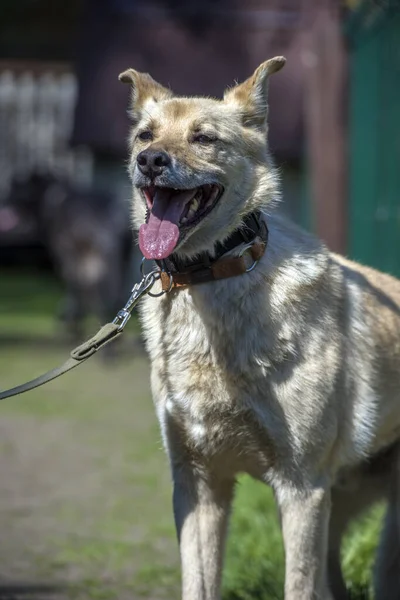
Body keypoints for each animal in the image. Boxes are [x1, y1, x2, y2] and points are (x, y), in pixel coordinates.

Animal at [118, 57, 400, 600]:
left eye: (204, 138)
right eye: (145, 136)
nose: (151, 161)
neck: (212, 276)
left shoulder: (302, 488)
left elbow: (298, 586)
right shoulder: (198, 485)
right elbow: (199, 583)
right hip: (344, 499)